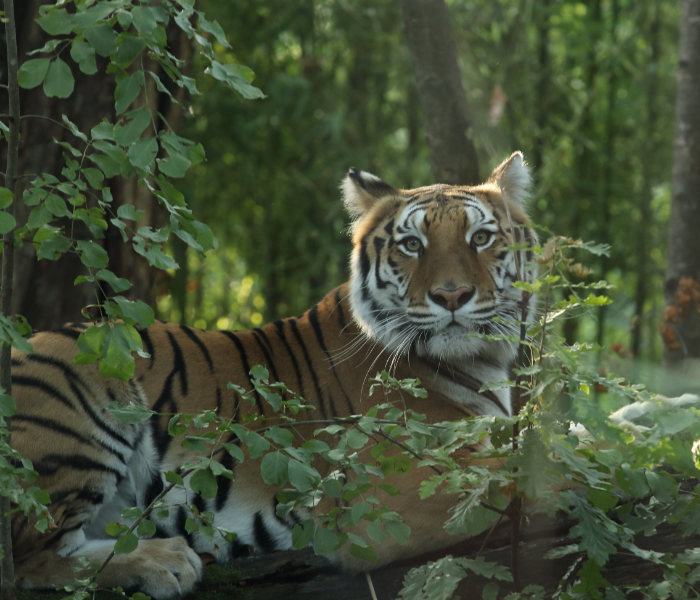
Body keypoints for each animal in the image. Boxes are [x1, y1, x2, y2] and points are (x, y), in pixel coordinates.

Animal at [9, 150, 536, 596]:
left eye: (481, 238)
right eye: (412, 244)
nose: (451, 295)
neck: (479, 363)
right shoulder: (388, 495)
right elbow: (523, 470)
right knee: (30, 559)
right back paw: (166, 560)